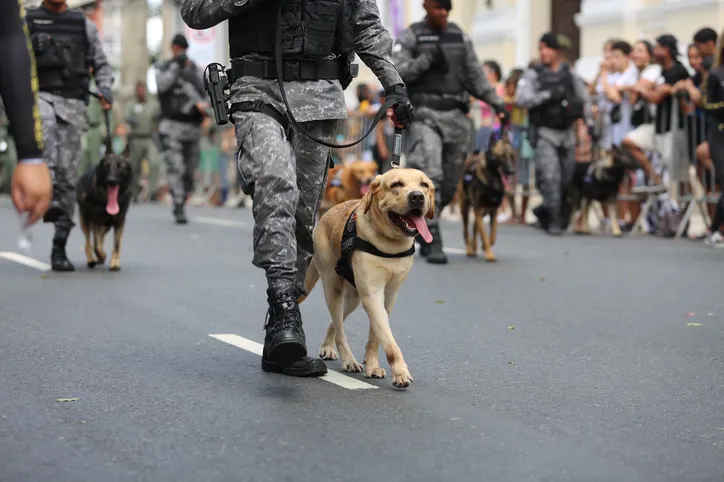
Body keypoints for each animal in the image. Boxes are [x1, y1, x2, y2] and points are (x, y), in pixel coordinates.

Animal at [78, 120, 136, 272]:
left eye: (121, 167)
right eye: (107, 166)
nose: (111, 181)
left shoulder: (119, 222)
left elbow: (116, 244)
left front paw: (114, 262)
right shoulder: (96, 221)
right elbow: (96, 245)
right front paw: (101, 256)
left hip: (105, 225)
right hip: (85, 220)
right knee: (88, 242)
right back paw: (92, 259)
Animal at [302, 169, 436, 388]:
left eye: (424, 185)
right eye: (396, 184)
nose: (417, 196)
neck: (389, 244)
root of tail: (326, 214)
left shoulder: (388, 296)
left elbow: (376, 336)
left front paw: (372, 365)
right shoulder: (372, 295)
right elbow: (389, 340)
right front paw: (400, 371)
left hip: (355, 297)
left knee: (336, 322)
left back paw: (329, 346)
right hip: (333, 287)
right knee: (339, 327)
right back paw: (348, 359)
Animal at [458, 132, 516, 262]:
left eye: (511, 156)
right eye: (502, 157)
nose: (512, 171)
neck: (493, 181)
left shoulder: (493, 211)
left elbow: (492, 234)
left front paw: (486, 246)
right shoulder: (478, 209)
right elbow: (484, 234)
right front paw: (489, 253)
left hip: (482, 212)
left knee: (475, 226)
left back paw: (475, 246)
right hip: (465, 208)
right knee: (466, 230)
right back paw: (470, 249)